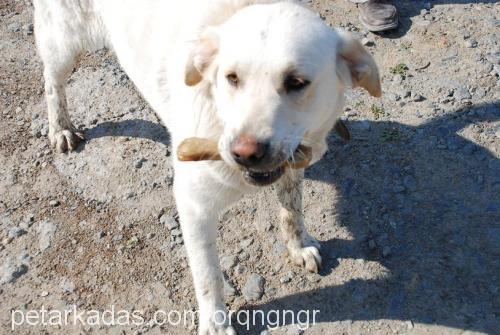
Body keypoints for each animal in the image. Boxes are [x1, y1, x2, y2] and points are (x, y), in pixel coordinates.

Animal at [34, 1, 378, 334]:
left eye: (296, 82)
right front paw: (215, 325)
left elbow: (292, 210)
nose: (245, 153)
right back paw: (60, 127)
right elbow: (209, 275)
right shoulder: (194, 206)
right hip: (63, 40)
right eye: (232, 77)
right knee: (52, 79)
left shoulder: (294, 160)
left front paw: (299, 245)